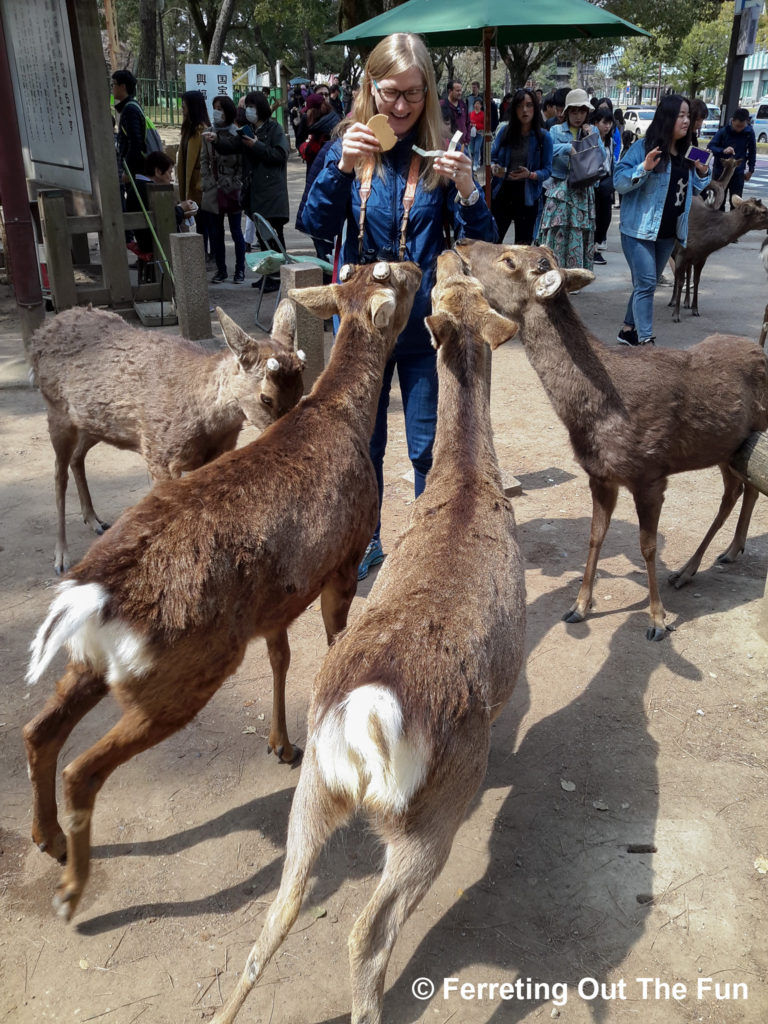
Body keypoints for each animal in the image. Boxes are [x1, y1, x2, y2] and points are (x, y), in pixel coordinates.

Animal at [30, 303, 307, 577]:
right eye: (266, 398)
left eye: (301, 391)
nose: (288, 436)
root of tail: (40, 335)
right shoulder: (158, 454)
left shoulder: (215, 453)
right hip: (56, 412)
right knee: (59, 473)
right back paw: (61, 557)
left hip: (93, 424)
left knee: (77, 457)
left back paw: (94, 520)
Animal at [207, 245, 528, 1024]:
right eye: (447, 284)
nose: (443, 249)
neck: (468, 485)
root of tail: (368, 723)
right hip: (431, 815)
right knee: (368, 931)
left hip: (313, 789)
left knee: (276, 911)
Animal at [454, 239, 765, 638]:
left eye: (509, 260)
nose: (461, 241)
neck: (593, 414)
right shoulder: (599, 476)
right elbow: (595, 535)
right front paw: (579, 606)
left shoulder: (650, 475)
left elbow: (648, 546)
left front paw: (657, 620)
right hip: (727, 448)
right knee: (738, 489)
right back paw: (709, 560)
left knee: (744, 489)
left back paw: (704, 562)